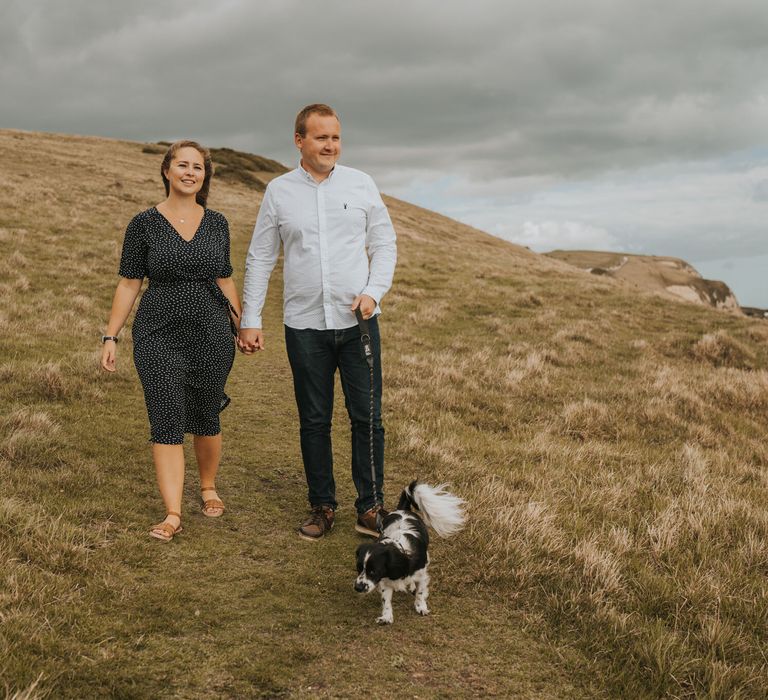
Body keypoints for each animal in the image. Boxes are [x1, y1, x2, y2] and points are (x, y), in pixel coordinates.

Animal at [352, 482, 464, 624]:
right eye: (358, 568)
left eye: (373, 571)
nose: (357, 587)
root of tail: (402, 510)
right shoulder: (385, 580)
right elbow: (386, 600)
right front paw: (386, 616)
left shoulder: (422, 575)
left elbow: (420, 593)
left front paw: (421, 607)